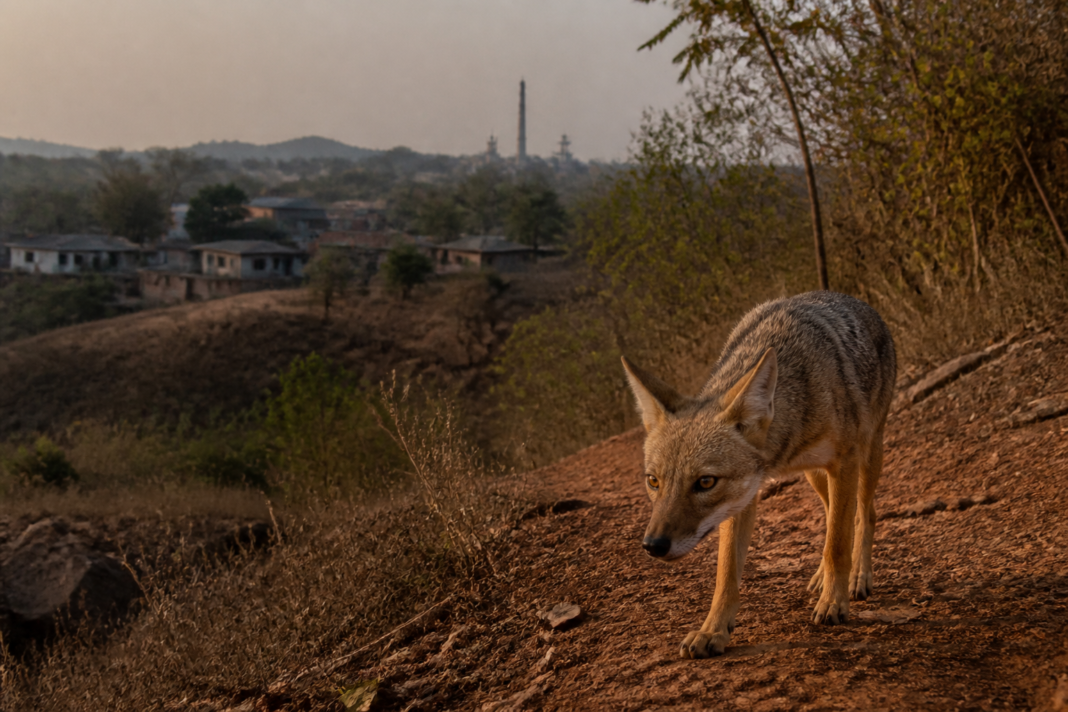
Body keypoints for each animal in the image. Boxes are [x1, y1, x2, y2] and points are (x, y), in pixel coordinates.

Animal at [622, 291, 896, 659]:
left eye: (704, 482)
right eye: (654, 481)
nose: (653, 545)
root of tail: (855, 300)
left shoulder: (845, 462)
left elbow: (838, 543)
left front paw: (834, 603)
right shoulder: (744, 498)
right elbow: (726, 573)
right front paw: (713, 630)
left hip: (867, 456)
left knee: (865, 514)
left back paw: (859, 577)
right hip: (816, 476)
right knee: (831, 516)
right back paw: (822, 578)